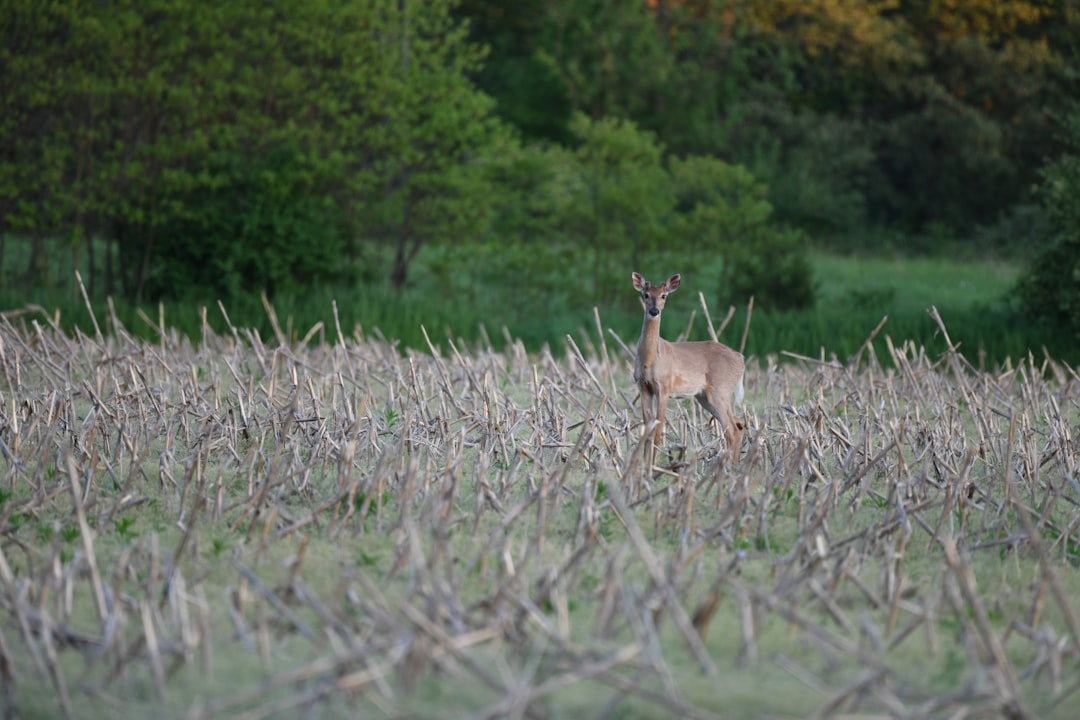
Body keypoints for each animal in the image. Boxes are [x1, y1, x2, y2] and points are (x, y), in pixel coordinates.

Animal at [631, 272, 745, 459]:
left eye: (664, 295)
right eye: (645, 294)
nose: (654, 311)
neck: (650, 359)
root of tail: (740, 358)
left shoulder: (664, 387)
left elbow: (657, 433)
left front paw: (652, 465)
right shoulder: (643, 387)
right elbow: (647, 433)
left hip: (720, 390)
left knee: (732, 430)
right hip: (704, 396)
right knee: (738, 424)